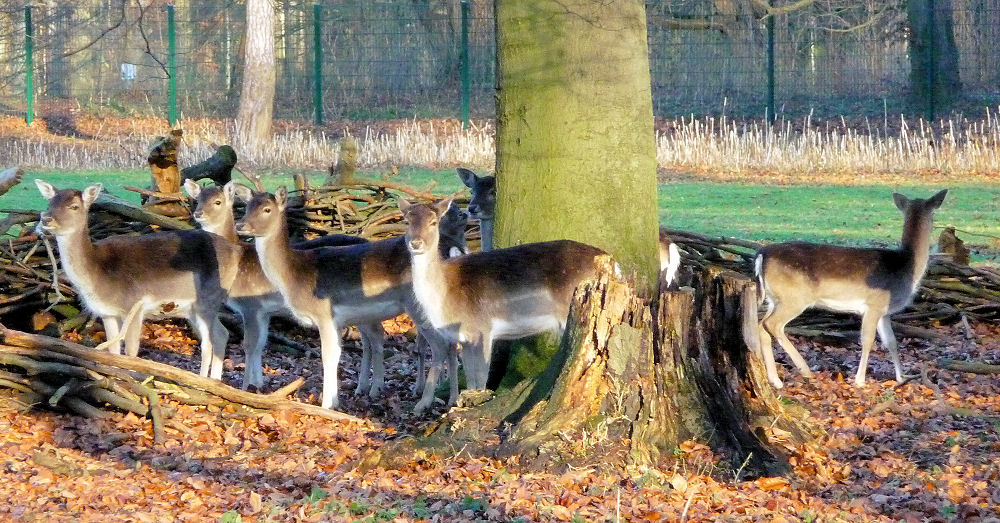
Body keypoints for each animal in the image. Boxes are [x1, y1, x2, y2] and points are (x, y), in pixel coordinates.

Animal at [35, 180, 242, 380]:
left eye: (74, 206)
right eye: (49, 203)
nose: (46, 219)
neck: (97, 275)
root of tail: (236, 251)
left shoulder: (133, 305)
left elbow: (131, 351)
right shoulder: (107, 313)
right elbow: (113, 350)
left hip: (208, 299)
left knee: (212, 340)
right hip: (193, 308)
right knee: (221, 334)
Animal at [236, 188, 466, 414]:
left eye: (267, 209)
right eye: (247, 206)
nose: (240, 225)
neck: (295, 276)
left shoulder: (324, 314)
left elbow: (328, 355)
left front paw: (326, 404)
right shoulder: (339, 321)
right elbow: (339, 353)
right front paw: (336, 400)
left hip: (419, 306)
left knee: (440, 346)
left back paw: (424, 402)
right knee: (451, 344)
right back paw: (452, 397)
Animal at [752, 189, 948, 388]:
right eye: (935, 216)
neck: (907, 268)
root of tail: (761, 254)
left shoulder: (884, 312)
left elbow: (891, 341)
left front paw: (902, 377)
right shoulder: (874, 305)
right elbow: (868, 340)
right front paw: (860, 380)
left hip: (773, 298)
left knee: (761, 327)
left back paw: (775, 380)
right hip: (794, 298)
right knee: (772, 324)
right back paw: (804, 370)